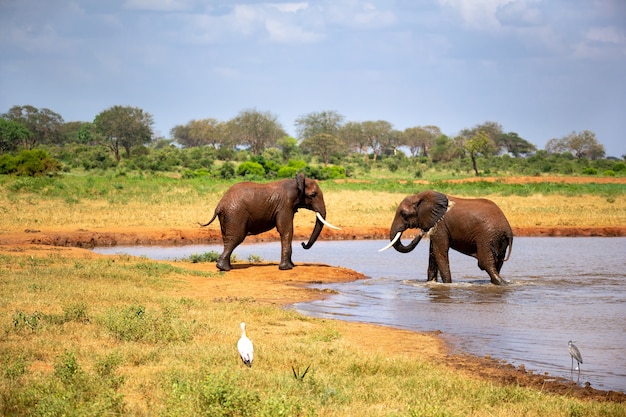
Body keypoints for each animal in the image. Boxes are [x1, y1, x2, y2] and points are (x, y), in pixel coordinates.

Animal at [199, 171, 336, 270]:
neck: (295, 182)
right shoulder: (284, 205)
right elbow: (286, 230)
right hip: (235, 214)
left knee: (227, 238)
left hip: (227, 217)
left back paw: (227, 267)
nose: (303, 244)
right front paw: (287, 268)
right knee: (236, 238)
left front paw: (291, 266)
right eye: (313, 195)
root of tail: (219, 205)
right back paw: (224, 268)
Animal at [378, 190, 510, 284]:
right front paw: (431, 283)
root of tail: (508, 229)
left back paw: (501, 283)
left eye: (403, 214)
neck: (421, 197)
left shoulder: (440, 225)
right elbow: (433, 253)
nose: (420, 234)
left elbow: (439, 252)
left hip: (486, 237)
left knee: (486, 263)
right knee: (497, 263)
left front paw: (446, 284)